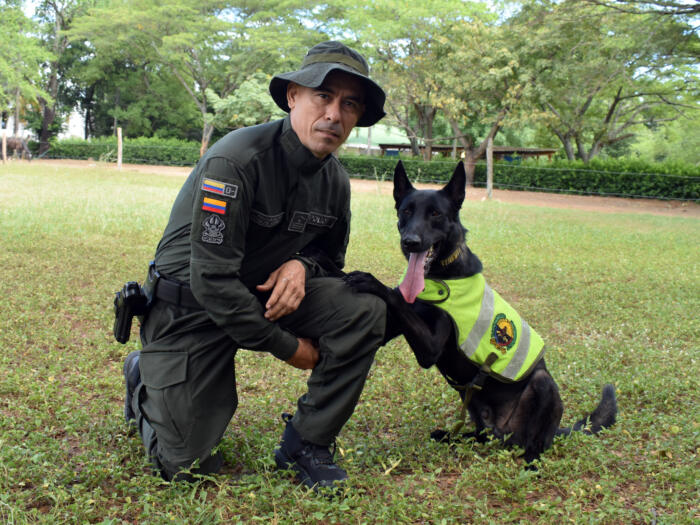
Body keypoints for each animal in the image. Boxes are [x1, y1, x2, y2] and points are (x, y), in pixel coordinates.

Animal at [346, 162, 616, 464]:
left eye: (436, 214)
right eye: (406, 211)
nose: (410, 242)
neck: (440, 275)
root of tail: (503, 432)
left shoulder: (430, 348)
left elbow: (395, 296)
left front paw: (371, 281)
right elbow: (398, 305)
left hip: (542, 386)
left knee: (535, 443)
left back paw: (530, 460)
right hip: (476, 409)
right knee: (479, 435)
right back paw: (450, 436)